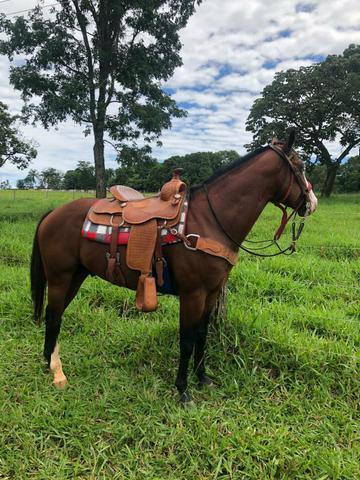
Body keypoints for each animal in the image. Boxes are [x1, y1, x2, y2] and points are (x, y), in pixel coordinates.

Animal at [31, 132, 318, 404]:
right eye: (301, 166)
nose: (312, 203)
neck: (209, 220)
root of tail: (52, 213)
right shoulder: (193, 294)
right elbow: (187, 340)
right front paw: (183, 390)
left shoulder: (211, 293)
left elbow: (202, 335)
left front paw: (203, 378)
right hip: (60, 277)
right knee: (54, 315)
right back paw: (56, 371)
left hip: (76, 276)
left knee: (53, 313)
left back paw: (49, 361)